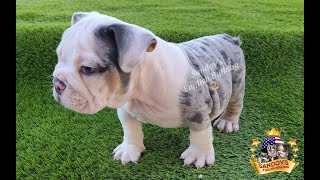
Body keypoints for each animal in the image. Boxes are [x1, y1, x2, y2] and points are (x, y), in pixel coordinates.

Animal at [52, 11, 245, 169]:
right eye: (58, 56)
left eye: (88, 69)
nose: (57, 82)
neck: (142, 90)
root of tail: (228, 38)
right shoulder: (126, 109)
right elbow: (130, 129)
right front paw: (130, 150)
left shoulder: (196, 109)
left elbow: (201, 133)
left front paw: (199, 155)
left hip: (237, 81)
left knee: (235, 103)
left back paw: (227, 122)